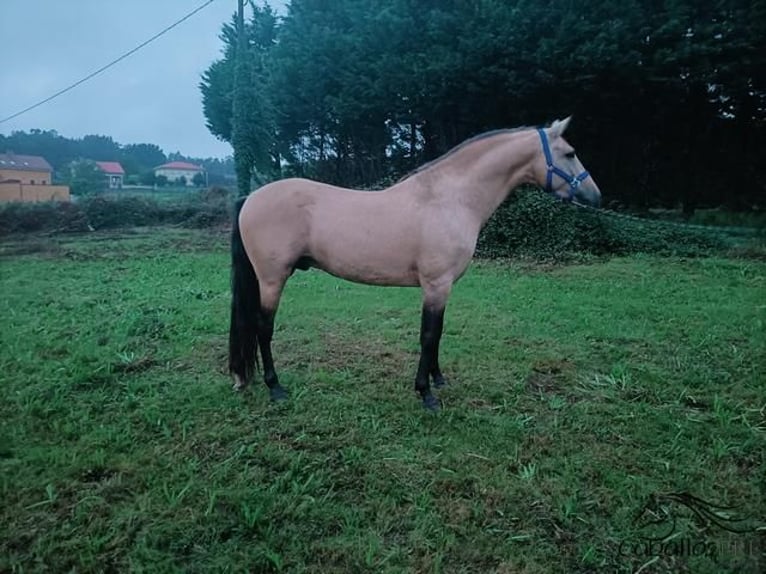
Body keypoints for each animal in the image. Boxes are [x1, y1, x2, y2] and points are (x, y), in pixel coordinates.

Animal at [226, 117, 600, 412]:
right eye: (570, 153)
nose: (595, 197)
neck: (449, 199)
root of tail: (250, 198)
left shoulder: (442, 287)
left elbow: (438, 333)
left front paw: (438, 379)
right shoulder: (436, 284)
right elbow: (429, 334)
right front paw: (426, 394)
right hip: (272, 280)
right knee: (263, 328)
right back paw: (275, 387)